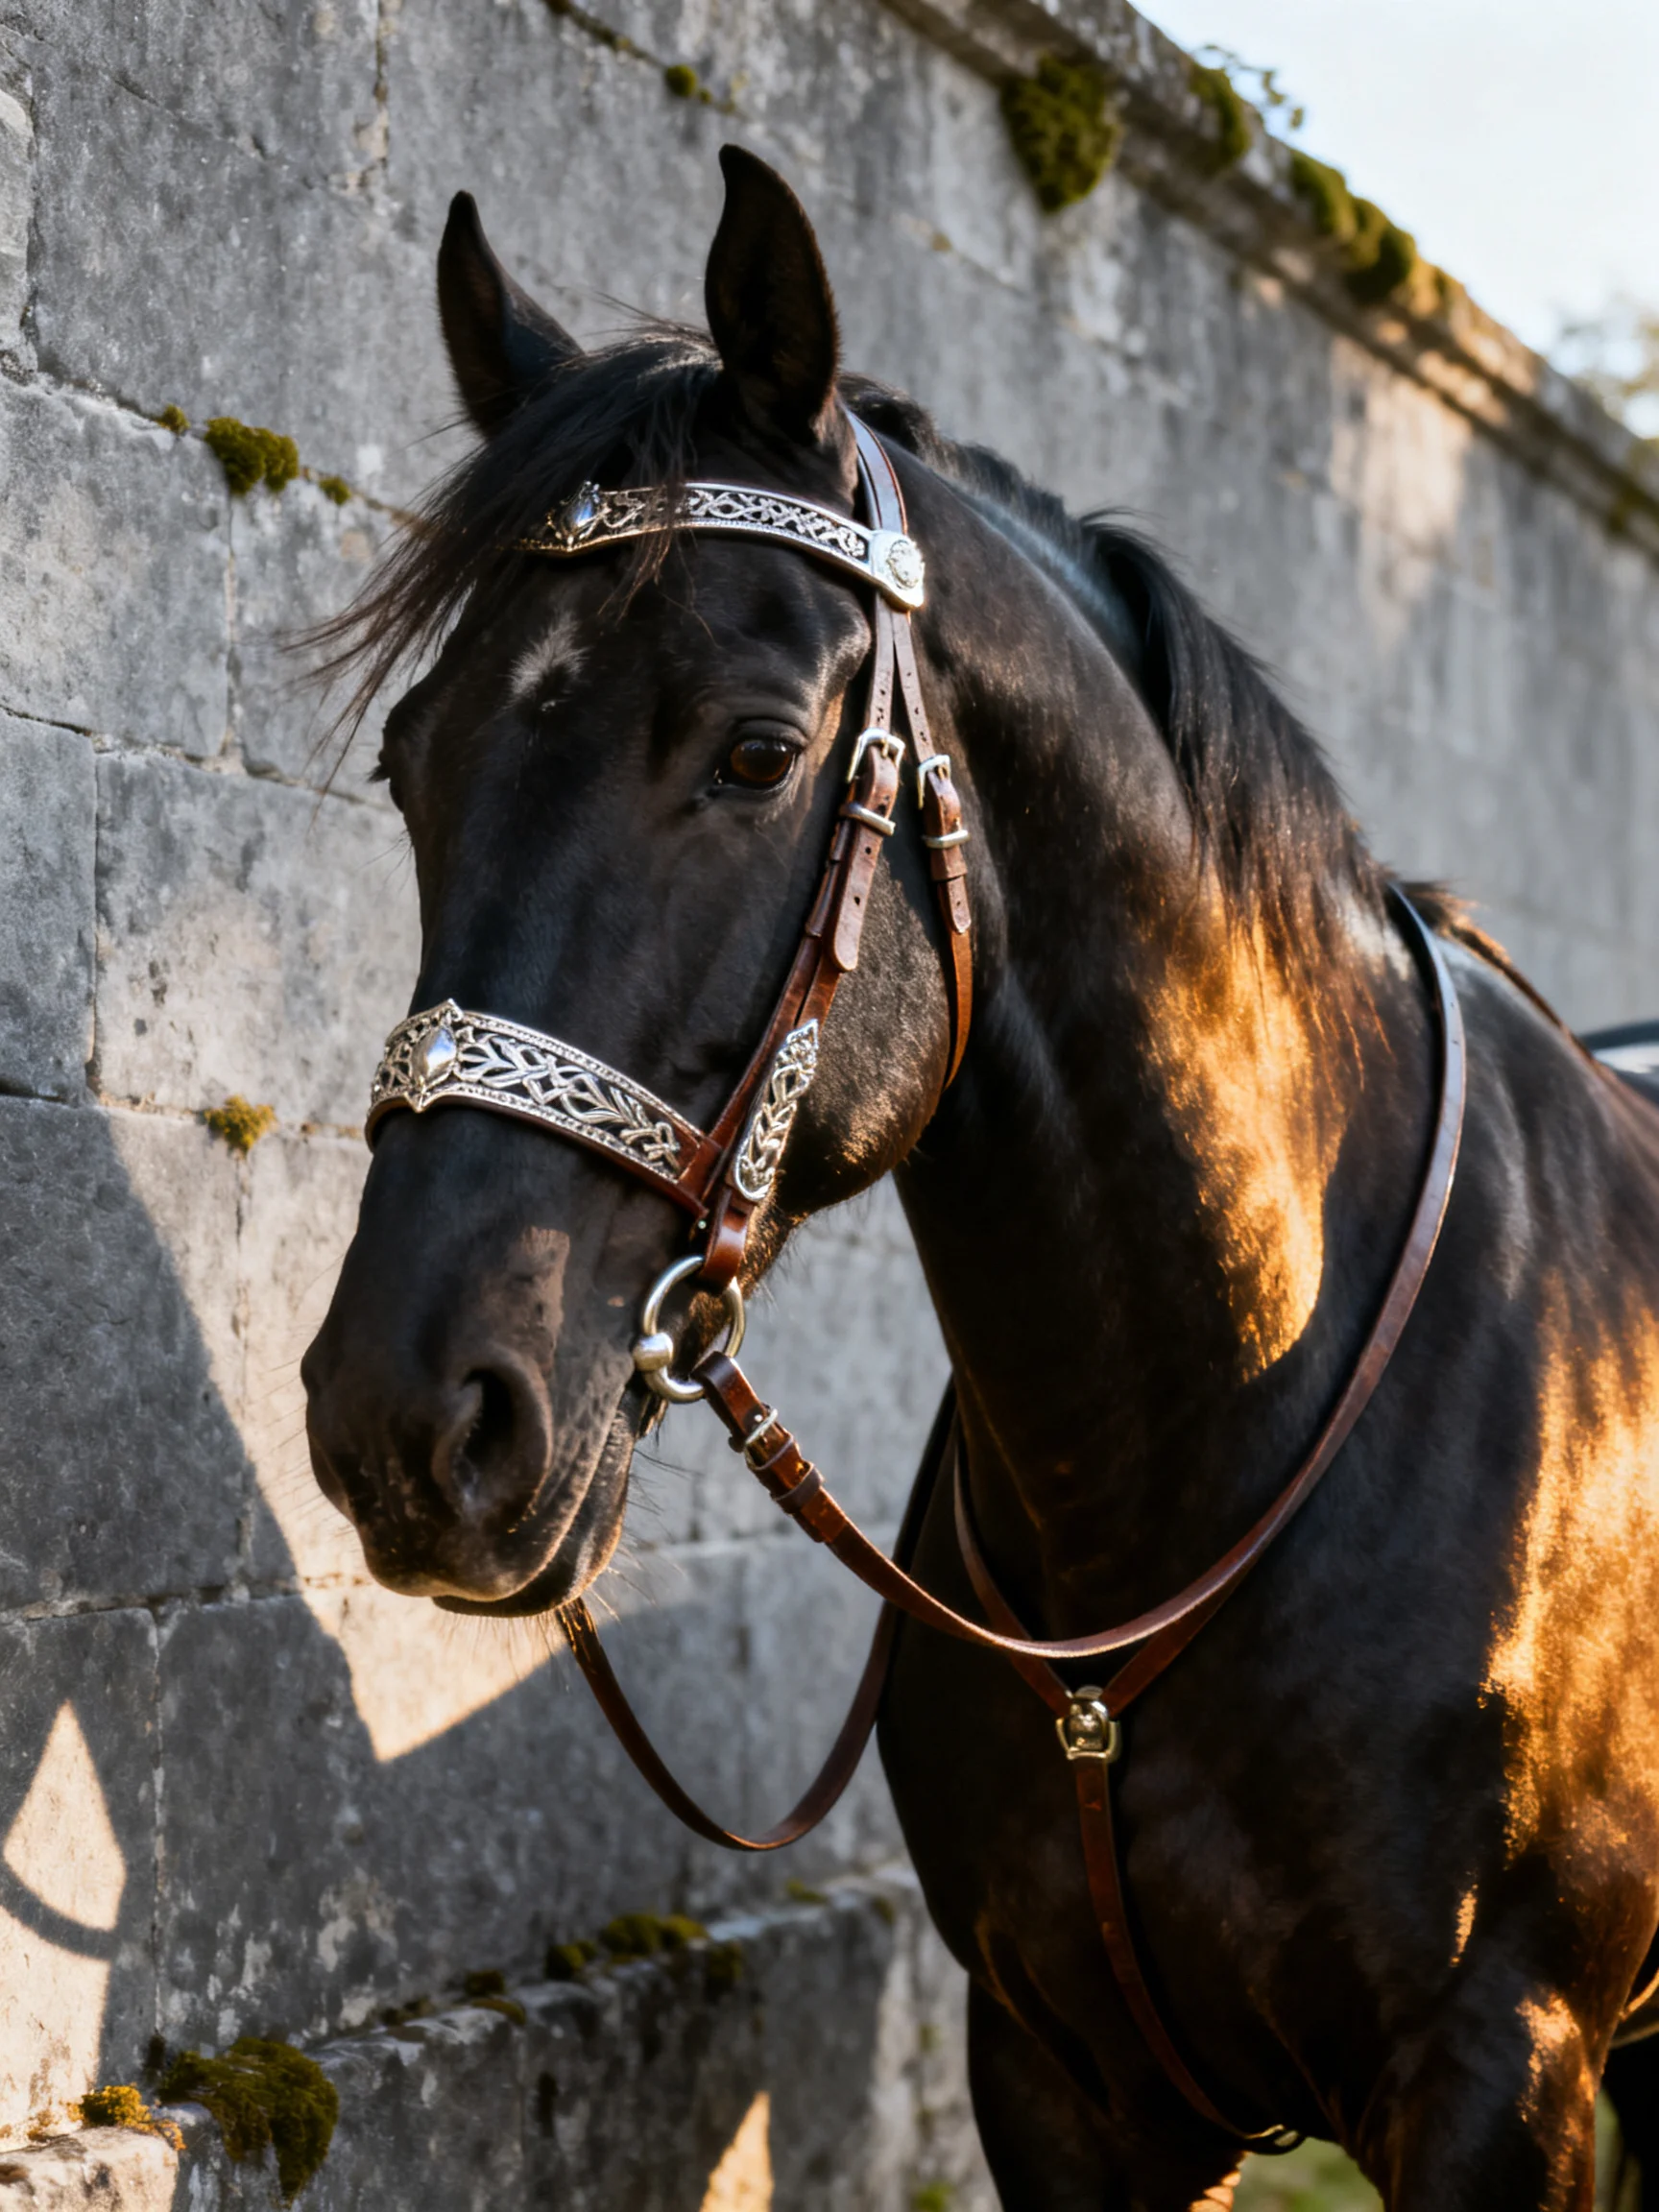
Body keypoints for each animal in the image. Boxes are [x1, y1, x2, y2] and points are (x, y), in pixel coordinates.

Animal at [300, 147, 1659, 2208]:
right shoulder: (1053, 2073)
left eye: (757, 751)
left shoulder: (1504, 2071)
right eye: (407, 761)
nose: (405, 1414)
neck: (1211, 1439)